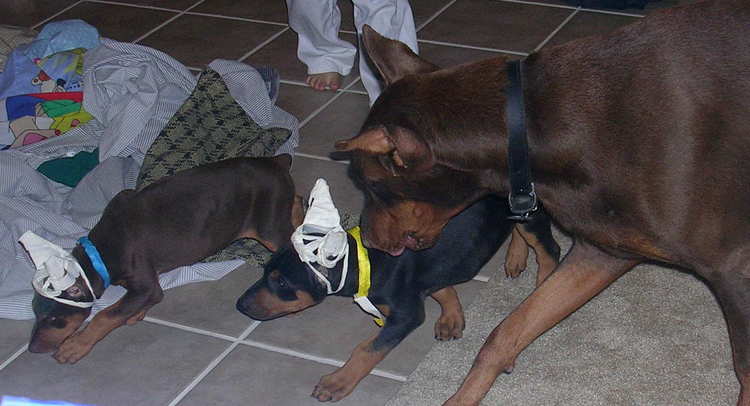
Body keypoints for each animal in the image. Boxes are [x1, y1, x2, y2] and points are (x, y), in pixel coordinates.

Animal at [20, 155, 302, 364]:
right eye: (34, 312)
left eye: (53, 319)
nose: (32, 349)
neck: (100, 252)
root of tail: (276, 161)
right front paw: (136, 313)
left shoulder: (144, 283)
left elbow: (107, 315)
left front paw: (75, 346)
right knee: (297, 204)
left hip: (268, 226)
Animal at [239, 197, 560, 402]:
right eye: (266, 270)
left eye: (282, 282)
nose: (240, 305)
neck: (365, 261)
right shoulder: (425, 278)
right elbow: (442, 289)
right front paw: (451, 318)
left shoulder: (406, 315)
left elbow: (367, 350)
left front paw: (338, 382)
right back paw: (516, 257)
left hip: (532, 216)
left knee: (549, 249)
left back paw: (545, 282)